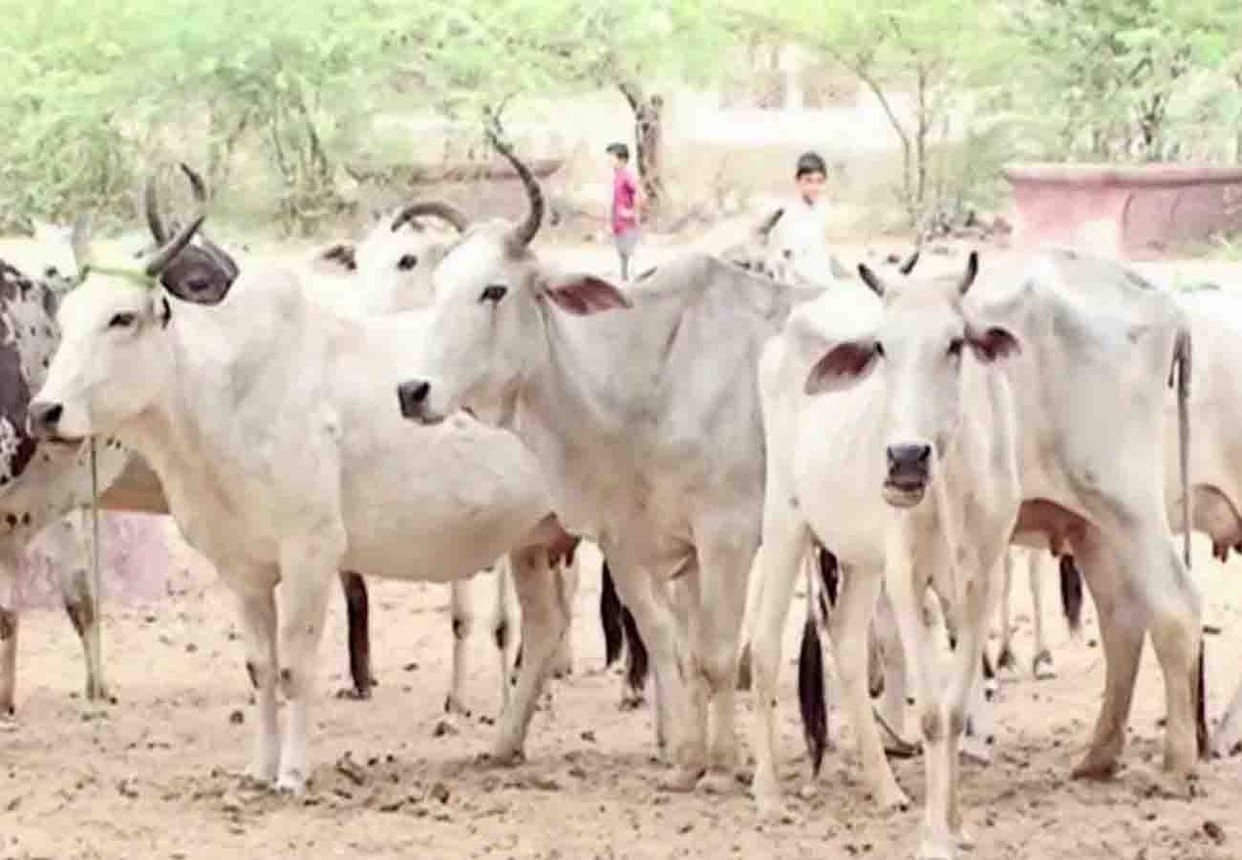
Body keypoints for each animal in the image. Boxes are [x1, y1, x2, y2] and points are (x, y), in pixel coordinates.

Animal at [29, 195, 573, 794]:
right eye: (65, 317)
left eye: (121, 317)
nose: (44, 411)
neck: (225, 393)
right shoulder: (242, 569)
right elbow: (261, 668)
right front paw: (259, 769)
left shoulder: (311, 552)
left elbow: (294, 667)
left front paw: (291, 773)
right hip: (532, 543)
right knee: (546, 629)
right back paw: (504, 743)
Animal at [398, 128, 819, 791]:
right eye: (436, 287)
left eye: (495, 289)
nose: (413, 391)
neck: (651, 371)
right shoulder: (630, 542)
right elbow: (671, 642)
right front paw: (688, 758)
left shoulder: (726, 536)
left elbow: (718, 652)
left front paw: (723, 764)